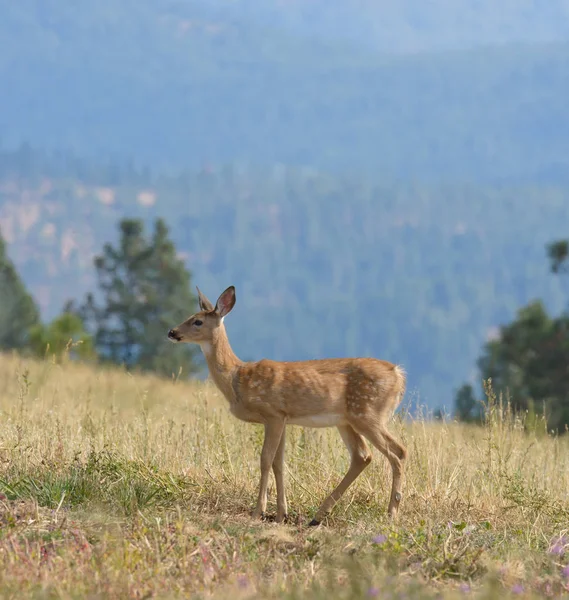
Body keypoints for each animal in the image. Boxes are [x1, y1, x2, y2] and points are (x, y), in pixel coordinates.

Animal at [166, 286, 406, 524]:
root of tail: (398, 374)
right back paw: (319, 515)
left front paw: (259, 511)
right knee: (363, 456)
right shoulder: (282, 419)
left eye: (197, 321)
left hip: (367, 413)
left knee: (398, 452)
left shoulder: (272, 413)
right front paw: (282, 513)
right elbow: (278, 463)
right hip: (346, 420)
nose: (172, 332)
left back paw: (391, 512)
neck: (237, 379)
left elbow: (265, 460)